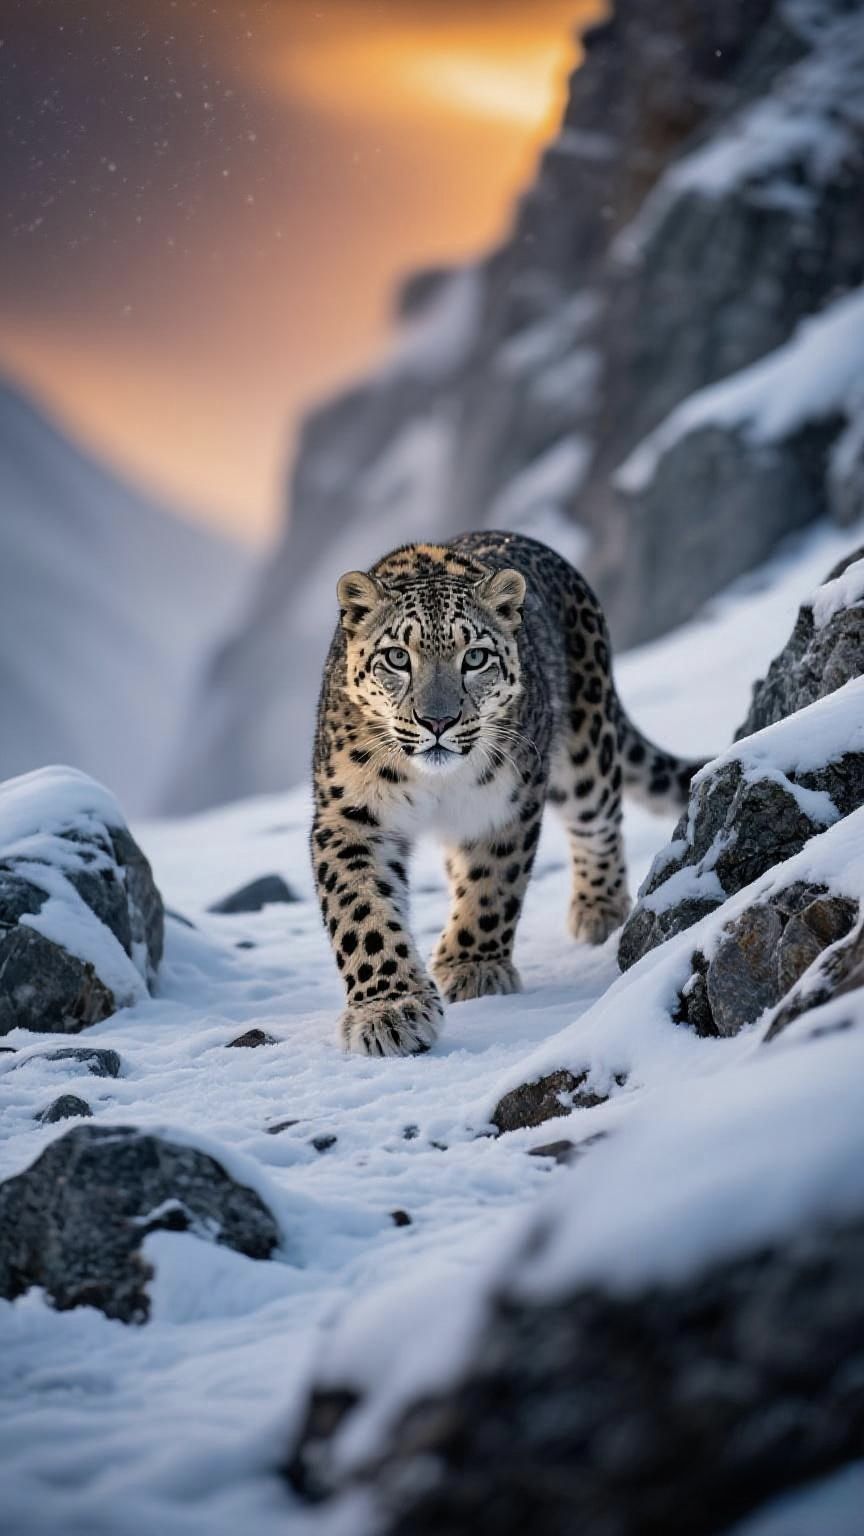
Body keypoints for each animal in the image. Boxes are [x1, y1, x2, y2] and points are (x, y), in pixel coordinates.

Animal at [311, 531, 705, 1057]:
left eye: (474, 657)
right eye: (397, 657)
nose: (437, 721)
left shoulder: (504, 804)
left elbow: (492, 885)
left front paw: (471, 967)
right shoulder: (350, 815)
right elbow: (361, 911)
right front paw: (389, 1010)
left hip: (586, 755)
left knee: (599, 821)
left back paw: (599, 909)